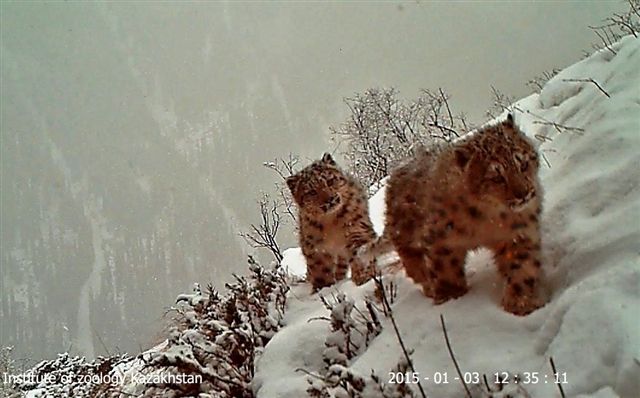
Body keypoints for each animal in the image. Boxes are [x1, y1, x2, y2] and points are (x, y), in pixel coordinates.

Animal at [288, 154, 378, 290]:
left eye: (330, 181)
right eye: (311, 192)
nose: (330, 200)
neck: (332, 222)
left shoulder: (356, 229)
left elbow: (360, 251)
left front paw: (364, 275)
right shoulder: (316, 247)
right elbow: (320, 270)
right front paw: (323, 287)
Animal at [362, 114, 544, 314]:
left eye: (523, 163)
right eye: (496, 177)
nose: (524, 193)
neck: (491, 220)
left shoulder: (519, 232)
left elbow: (521, 265)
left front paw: (521, 302)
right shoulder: (441, 239)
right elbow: (445, 270)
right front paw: (451, 297)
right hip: (405, 235)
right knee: (412, 261)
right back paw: (426, 282)